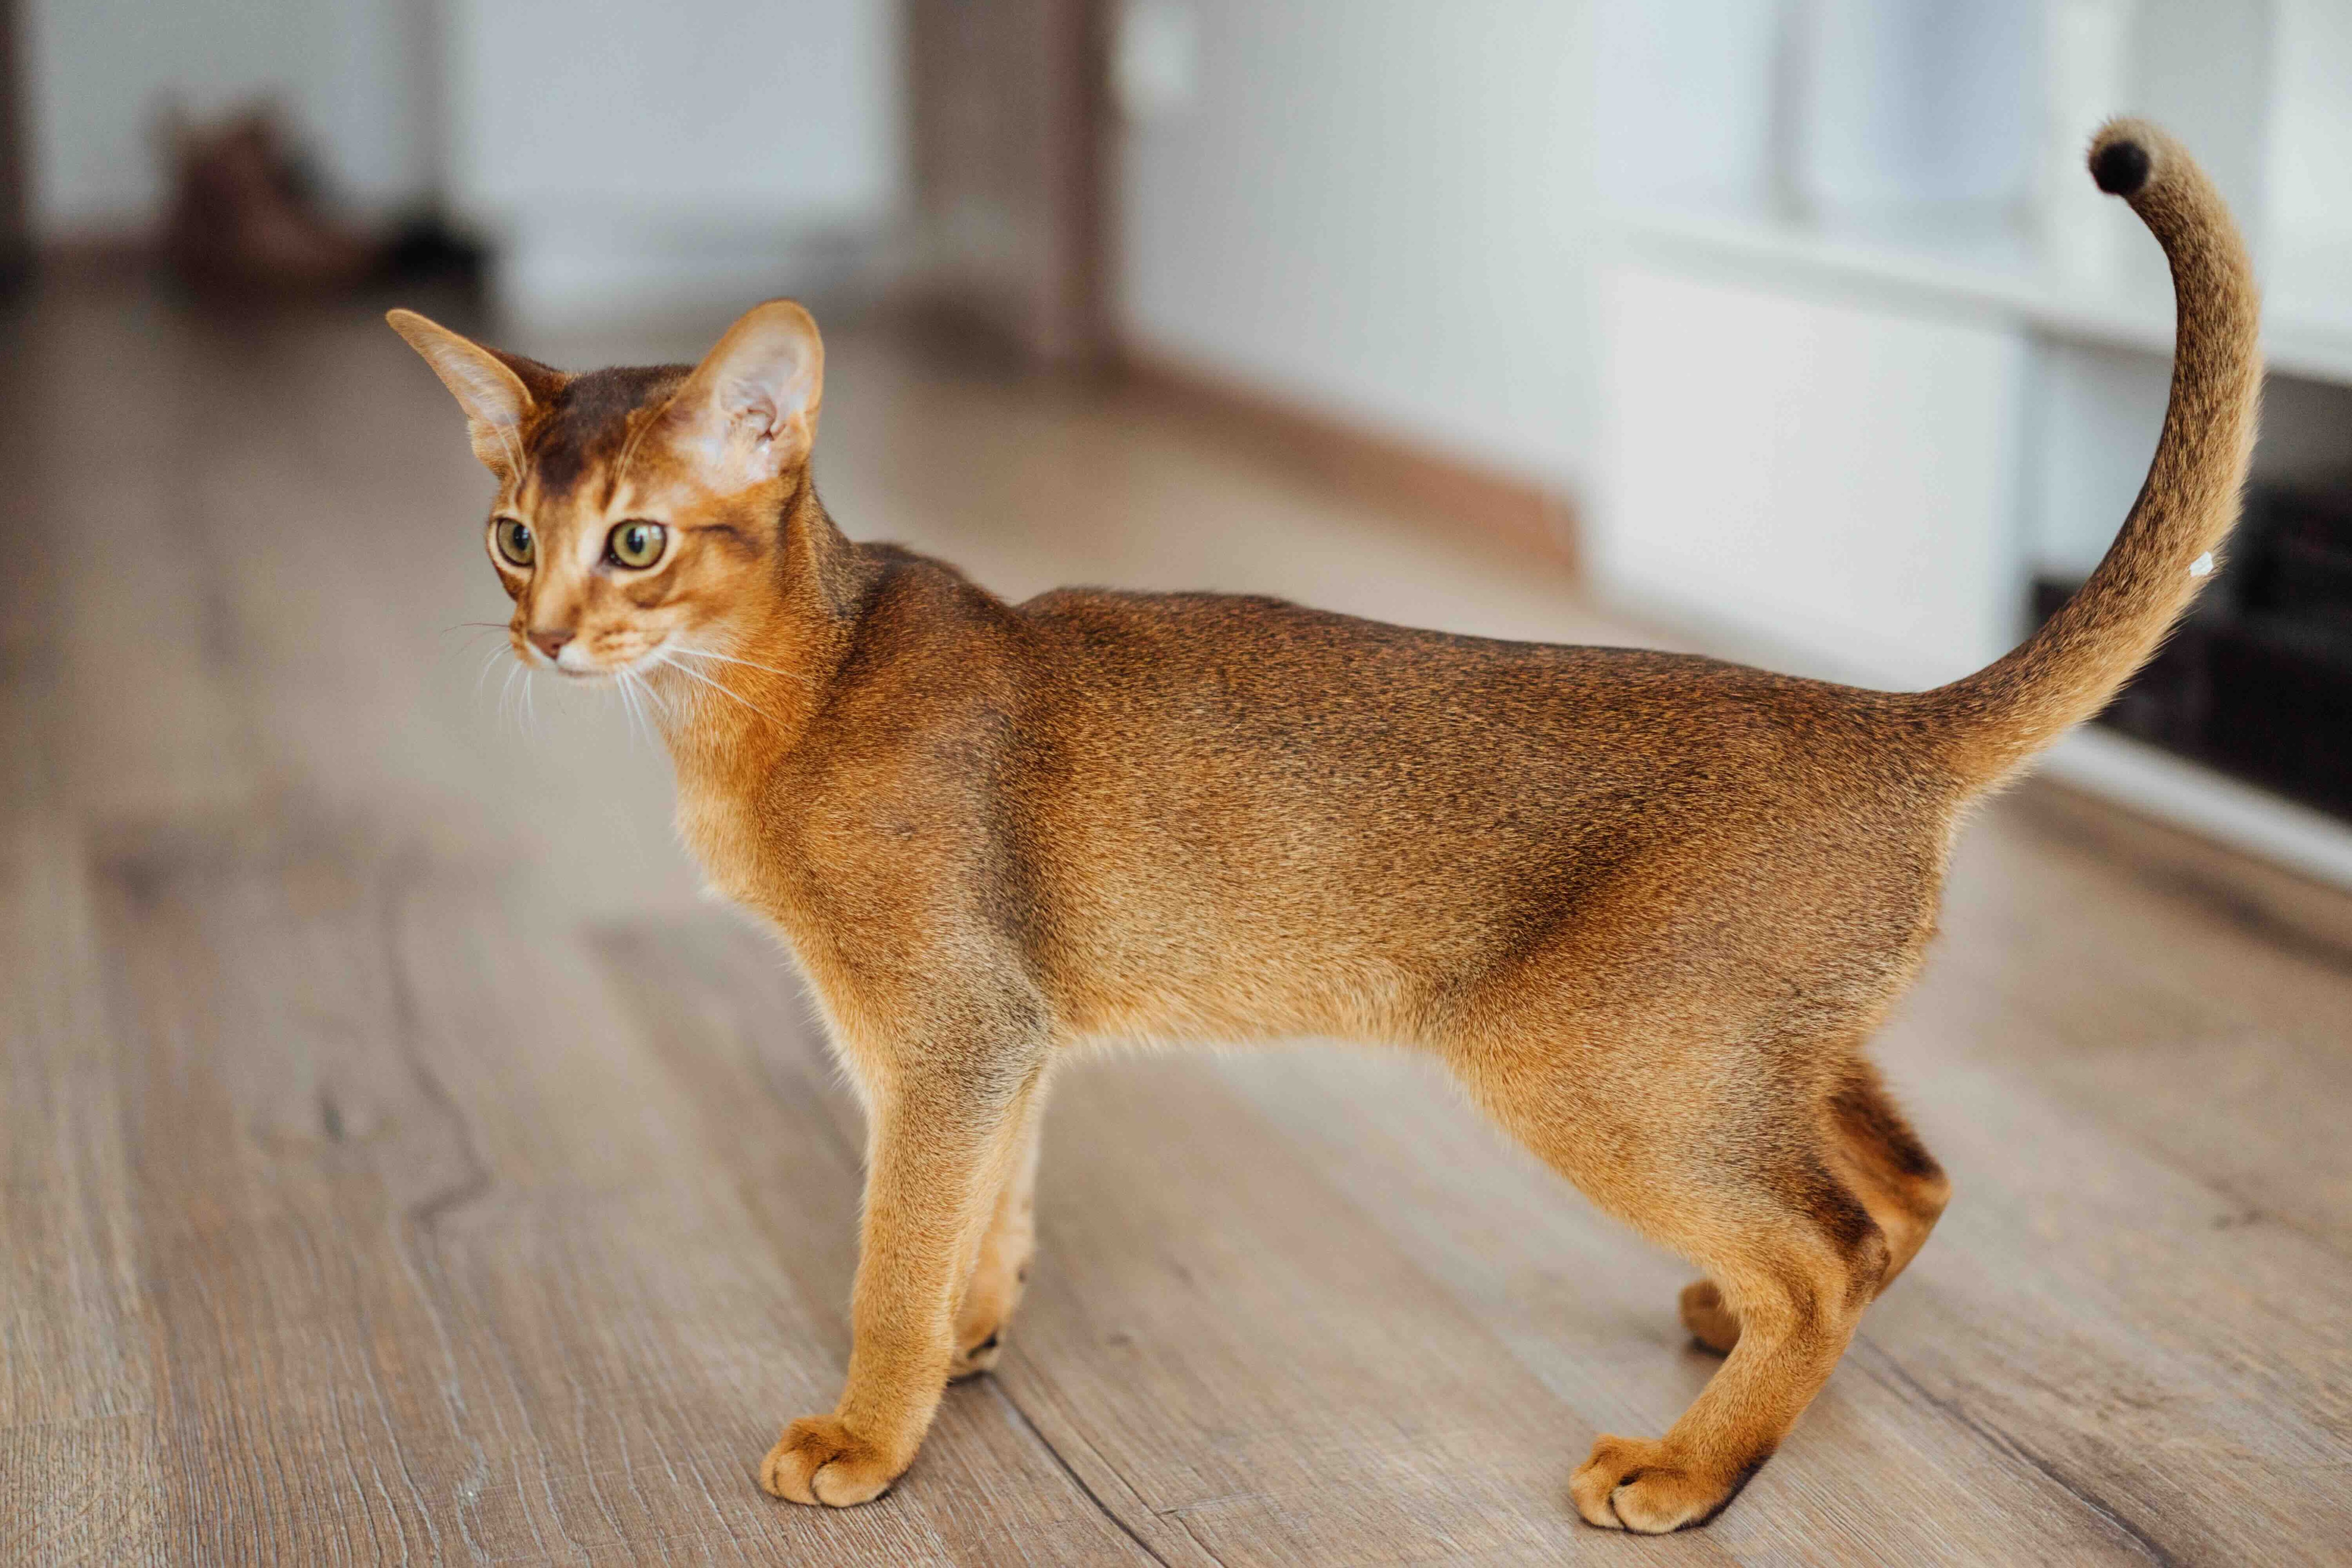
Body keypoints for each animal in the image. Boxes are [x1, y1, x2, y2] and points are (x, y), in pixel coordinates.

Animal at [390, 126, 2258, 1533]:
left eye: (636, 543)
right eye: (509, 535)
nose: (540, 635)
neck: (796, 681)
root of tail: (1886, 718)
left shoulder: (940, 1028)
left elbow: (895, 1242)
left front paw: (869, 1426)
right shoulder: (1005, 1036)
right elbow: (993, 1205)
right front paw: (976, 1338)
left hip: (1580, 1048)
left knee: (1823, 1246)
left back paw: (1688, 1467)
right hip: (1747, 1043)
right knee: (1896, 1190)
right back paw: (1723, 1333)